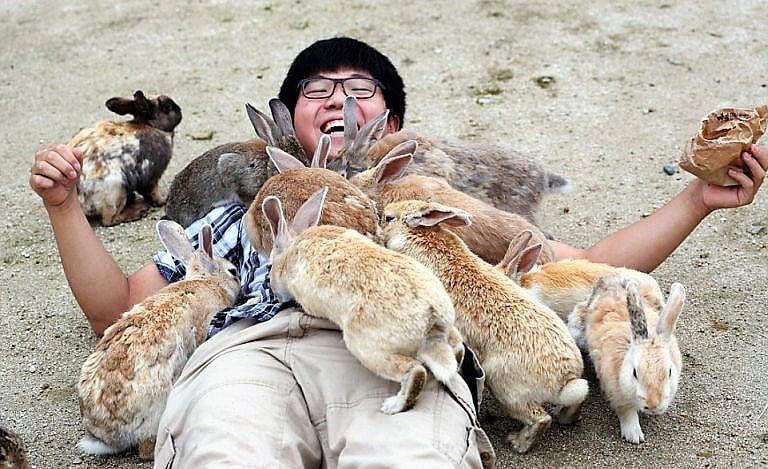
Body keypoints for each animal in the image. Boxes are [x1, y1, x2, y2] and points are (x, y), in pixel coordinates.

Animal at [70, 90, 182, 226]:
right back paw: (139, 211)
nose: (179, 110)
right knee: (108, 219)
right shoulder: (152, 176)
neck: (151, 126)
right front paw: (163, 201)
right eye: (166, 108)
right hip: (116, 190)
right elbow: (152, 192)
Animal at [262, 187, 463, 414]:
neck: (290, 251)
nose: (274, 292)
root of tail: (432, 318)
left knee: (415, 372)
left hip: (368, 349)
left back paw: (392, 406)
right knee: (458, 349)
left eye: (269, 268)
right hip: (447, 332)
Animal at [379, 199, 588, 453]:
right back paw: (565, 418)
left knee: (539, 418)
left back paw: (518, 443)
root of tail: (566, 380)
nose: (380, 217)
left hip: (504, 388)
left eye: (388, 218)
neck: (421, 235)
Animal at [568, 275, 685, 444]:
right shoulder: (617, 394)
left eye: (669, 372)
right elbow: (627, 412)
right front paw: (634, 436)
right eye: (635, 373)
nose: (653, 405)